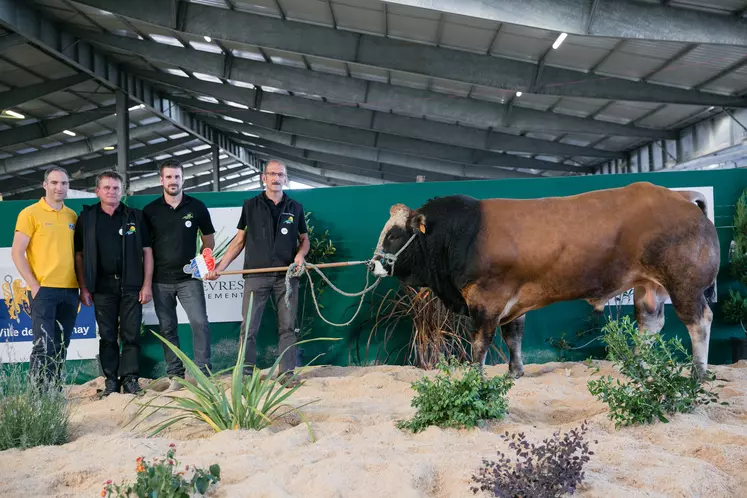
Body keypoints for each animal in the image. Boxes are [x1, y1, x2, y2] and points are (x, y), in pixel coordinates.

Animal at [372, 181, 720, 380]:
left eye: (395, 235)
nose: (374, 264)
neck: (463, 232)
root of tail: (682, 198)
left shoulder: (486, 300)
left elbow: (480, 342)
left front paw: (475, 375)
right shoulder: (513, 302)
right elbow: (513, 336)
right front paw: (515, 372)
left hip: (685, 286)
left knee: (699, 322)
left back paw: (697, 373)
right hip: (649, 287)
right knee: (650, 324)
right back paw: (638, 367)